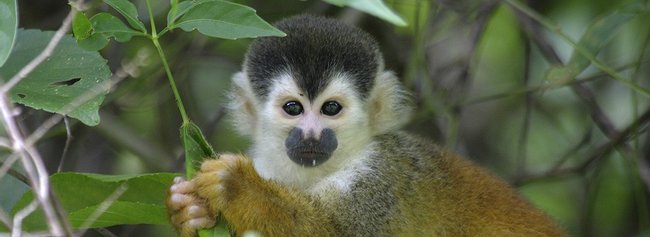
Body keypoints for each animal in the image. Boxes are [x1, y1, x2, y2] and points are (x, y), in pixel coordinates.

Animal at [165, 15, 564, 236]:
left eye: (331, 108)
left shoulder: (379, 179)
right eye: (293, 108)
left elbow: (332, 233)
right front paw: (188, 211)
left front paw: (237, 187)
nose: (311, 134)